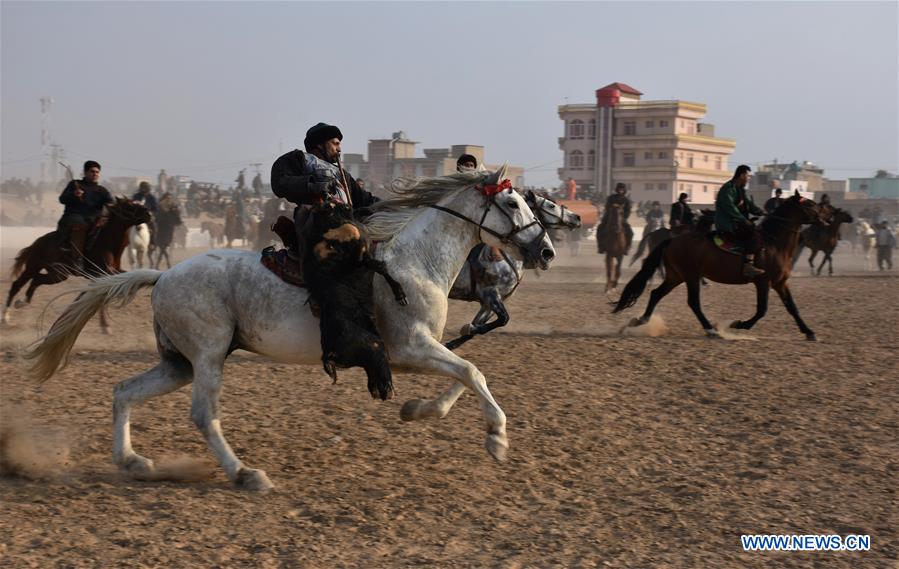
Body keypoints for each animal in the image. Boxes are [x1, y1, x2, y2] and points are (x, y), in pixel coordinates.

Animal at [3, 199, 151, 324]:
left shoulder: (114, 271)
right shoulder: (103, 272)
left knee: (36, 280)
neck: (107, 243)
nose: (148, 213)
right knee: (17, 284)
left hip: (57, 274)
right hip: (34, 266)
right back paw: (6, 316)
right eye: (130, 205)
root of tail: (37, 242)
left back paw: (21, 302)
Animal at [26, 166, 556, 490]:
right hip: (208, 356)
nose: (547, 250)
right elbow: (472, 372)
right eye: (513, 203)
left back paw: (133, 462)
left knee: (124, 391)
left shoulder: (410, 354)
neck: (413, 262)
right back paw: (245, 474)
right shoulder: (410, 348)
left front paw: (419, 410)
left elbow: (463, 375)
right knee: (203, 415)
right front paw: (497, 438)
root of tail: (164, 275)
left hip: (178, 363)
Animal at [616, 193, 828, 340]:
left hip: (676, 276)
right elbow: (762, 310)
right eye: (810, 204)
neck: (774, 243)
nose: (826, 220)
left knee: (656, 294)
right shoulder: (763, 282)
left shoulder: (780, 283)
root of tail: (672, 240)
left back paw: (639, 321)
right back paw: (711, 329)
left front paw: (809, 332)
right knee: (693, 302)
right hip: (690, 276)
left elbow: (792, 308)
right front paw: (738, 325)